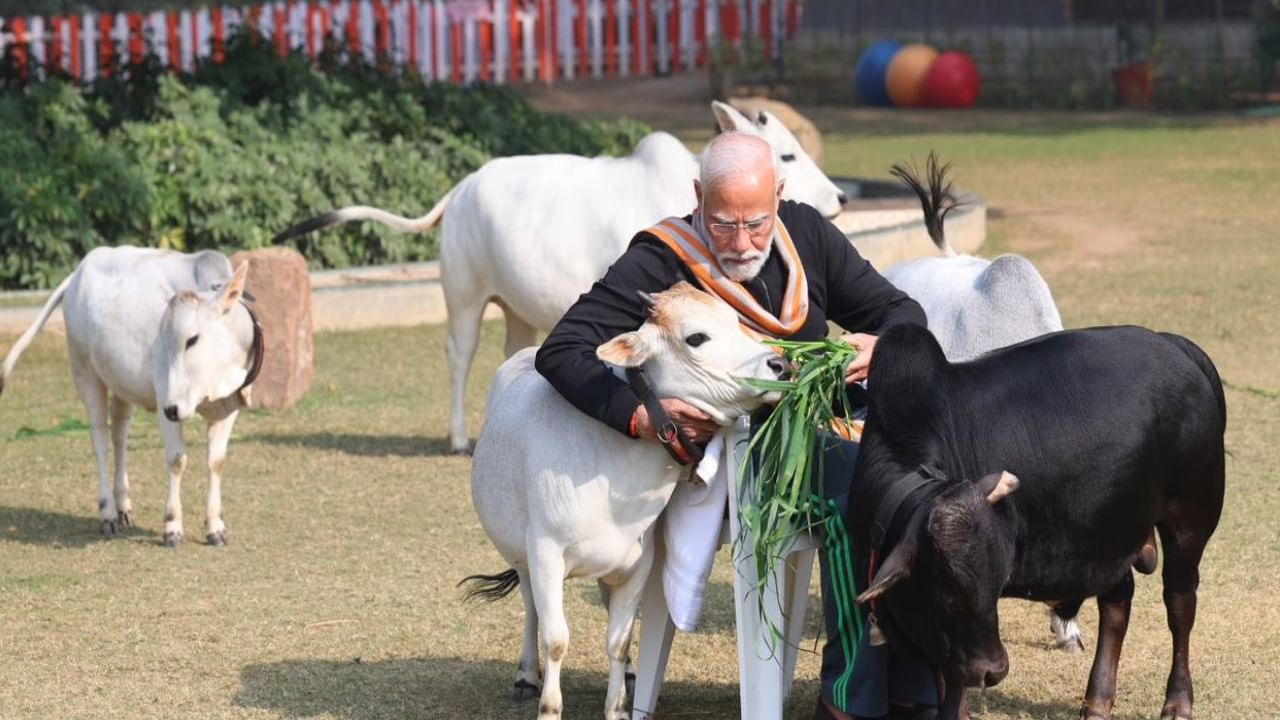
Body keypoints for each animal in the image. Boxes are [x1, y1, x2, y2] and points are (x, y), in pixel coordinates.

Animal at [0, 245, 262, 543]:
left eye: (192, 339)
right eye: (163, 339)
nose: (172, 409)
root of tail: (77, 273)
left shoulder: (229, 407)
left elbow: (216, 462)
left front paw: (215, 526)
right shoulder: (165, 399)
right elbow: (176, 460)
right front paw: (172, 526)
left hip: (122, 385)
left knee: (120, 435)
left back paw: (123, 505)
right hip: (85, 371)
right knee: (100, 438)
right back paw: (108, 513)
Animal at [275, 99, 844, 453]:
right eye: (786, 153)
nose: (839, 197)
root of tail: (462, 187)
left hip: (514, 308)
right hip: (464, 296)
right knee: (459, 355)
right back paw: (459, 438)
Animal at [460, 281, 788, 717]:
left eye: (736, 321)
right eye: (696, 338)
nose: (780, 365)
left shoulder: (637, 563)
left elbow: (618, 640)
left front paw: (616, 706)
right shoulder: (545, 554)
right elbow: (556, 640)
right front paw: (550, 706)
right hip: (520, 555)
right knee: (531, 608)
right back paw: (527, 675)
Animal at [855, 320, 1223, 717]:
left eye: (996, 583)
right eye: (948, 593)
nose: (994, 670)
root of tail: (1173, 344)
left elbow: (953, 687)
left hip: (1189, 523)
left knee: (1180, 605)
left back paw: (1178, 701)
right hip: (1111, 532)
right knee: (1117, 602)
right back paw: (1097, 700)